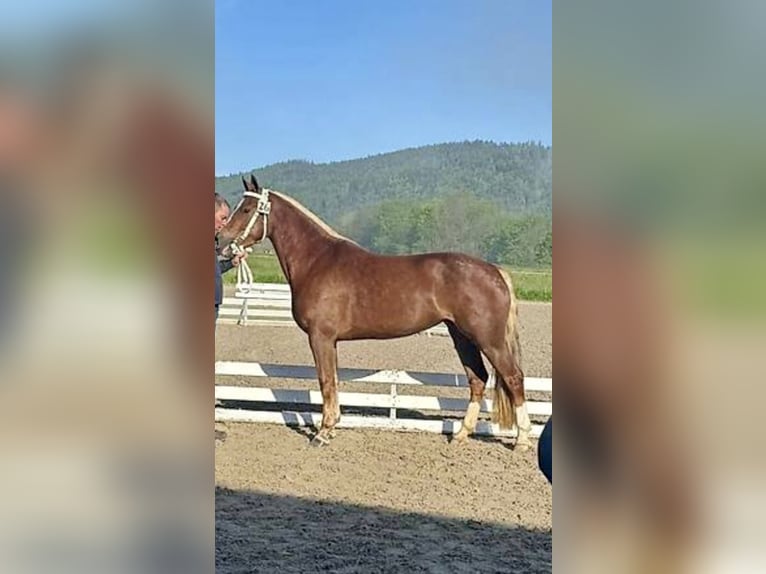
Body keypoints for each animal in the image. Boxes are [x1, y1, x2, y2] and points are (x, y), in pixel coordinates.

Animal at [213, 176, 532, 450]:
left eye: (247, 209)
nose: (220, 240)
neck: (316, 260)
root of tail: (495, 271)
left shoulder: (320, 337)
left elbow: (325, 381)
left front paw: (322, 433)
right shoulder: (330, 341)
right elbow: (333, 381)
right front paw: (331, 426)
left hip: (488, 339)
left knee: (514, 378)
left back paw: (522, 440)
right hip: (462, 337)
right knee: (477, 379)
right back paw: (461, 435)